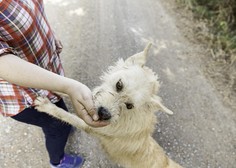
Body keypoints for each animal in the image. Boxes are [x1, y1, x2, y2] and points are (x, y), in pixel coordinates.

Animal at [35, 43, 183, 168]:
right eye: (119, 85)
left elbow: (65, 115)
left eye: (130, 105)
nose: (104, 114)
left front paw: (46, 106)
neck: (125, 116)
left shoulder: (89, 125)